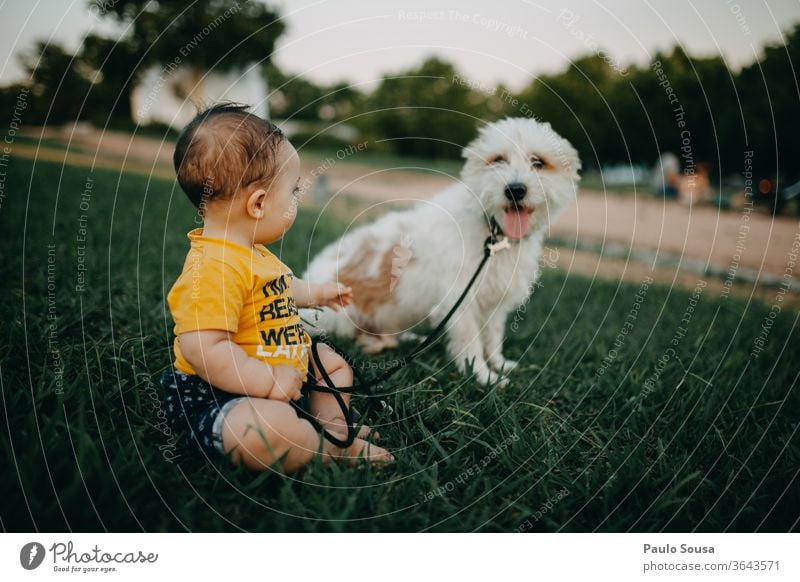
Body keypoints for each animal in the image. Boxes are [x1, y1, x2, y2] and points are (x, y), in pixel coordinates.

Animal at [304, 117, 580, 386]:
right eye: (498, 159)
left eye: (538, 162)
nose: (515, 189)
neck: (493, 232)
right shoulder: (461, 299)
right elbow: (472, 343)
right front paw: (483, 376)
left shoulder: (494, 302)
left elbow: (493, 337)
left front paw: (499, 364)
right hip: (338, 318)